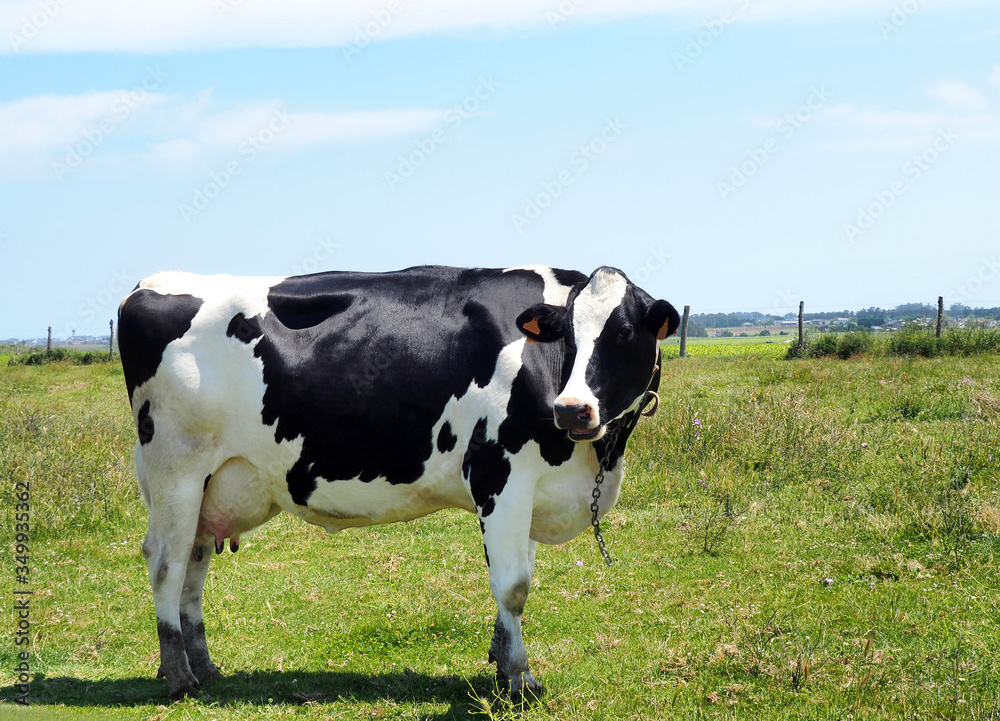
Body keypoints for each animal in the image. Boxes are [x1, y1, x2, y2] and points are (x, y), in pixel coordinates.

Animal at [117, 262, 680, 696]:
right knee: (165, 563)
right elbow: (515, 586)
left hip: (209, 483)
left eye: (624, 333)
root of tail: (146, 284)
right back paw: (179, 678)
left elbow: (515, 578)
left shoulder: (528, 489)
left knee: (193, 562)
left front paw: (501, 663)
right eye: (568, 336)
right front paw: (520, 680)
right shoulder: (500, 475)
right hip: (176, 468)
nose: (572, 409)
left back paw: (205, 667)